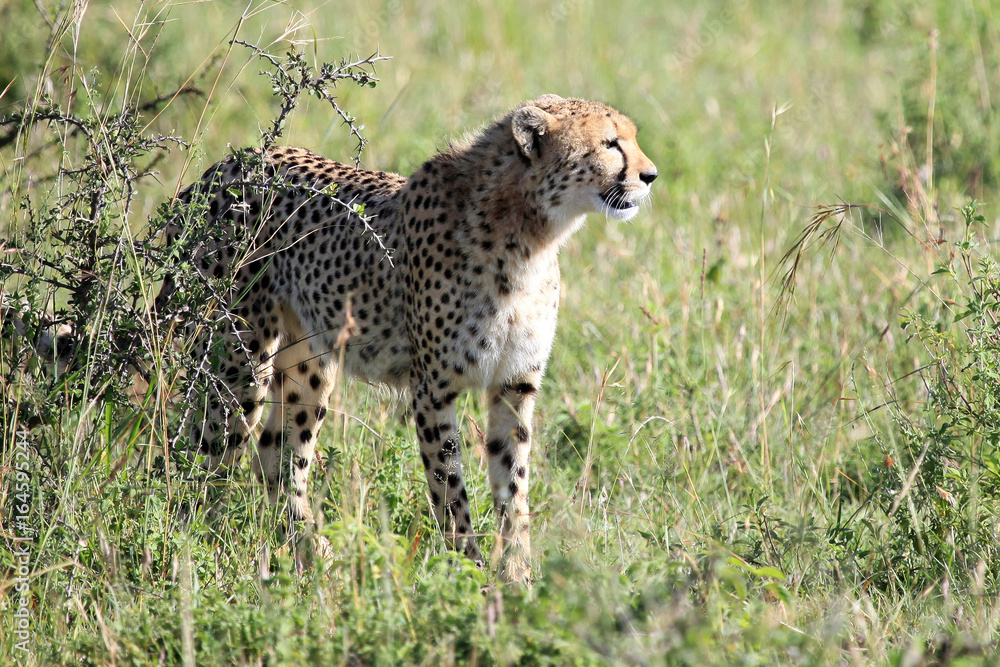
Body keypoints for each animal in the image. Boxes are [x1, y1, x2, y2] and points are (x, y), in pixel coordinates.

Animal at [161, 94, 657, 584]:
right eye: (610, 144)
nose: (650, 176)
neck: (530, 231)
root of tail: (223, 167)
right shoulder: (433, 389)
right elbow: (449, 490)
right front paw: (467, 575)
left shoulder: (514, 384)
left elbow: (513, 487)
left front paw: (517, 579)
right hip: (241, 358)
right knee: (202, 455)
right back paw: (194, 555)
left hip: (310, 360)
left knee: (276, 456)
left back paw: (314, 556)